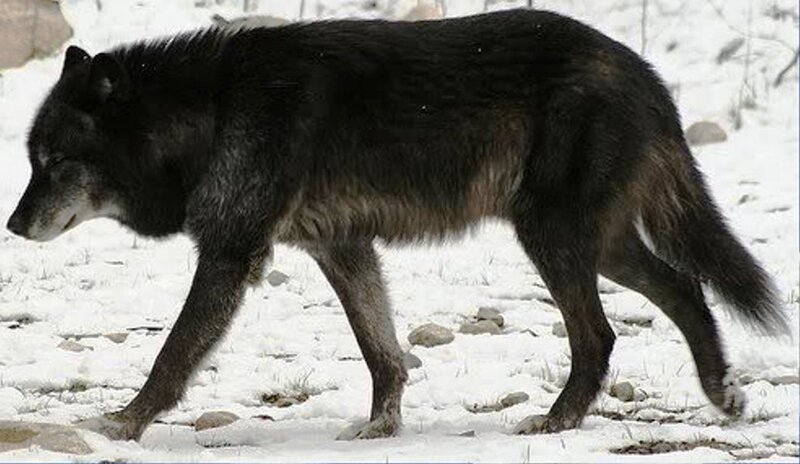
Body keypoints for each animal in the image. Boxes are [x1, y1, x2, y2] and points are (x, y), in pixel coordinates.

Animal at [7, 9, 787, 441]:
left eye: (55, 161)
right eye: (34, 159)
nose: (12, 225)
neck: (218, 109)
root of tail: (647, 75)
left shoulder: (231, 253)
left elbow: (172, 356)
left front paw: (122, 425)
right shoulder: (343, 248)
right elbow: (381, 348)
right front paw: (381, 426)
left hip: (555, 238)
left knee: (600, 334)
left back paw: (558, 421)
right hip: (601, 244)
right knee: (683, 288)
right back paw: (723, 394)